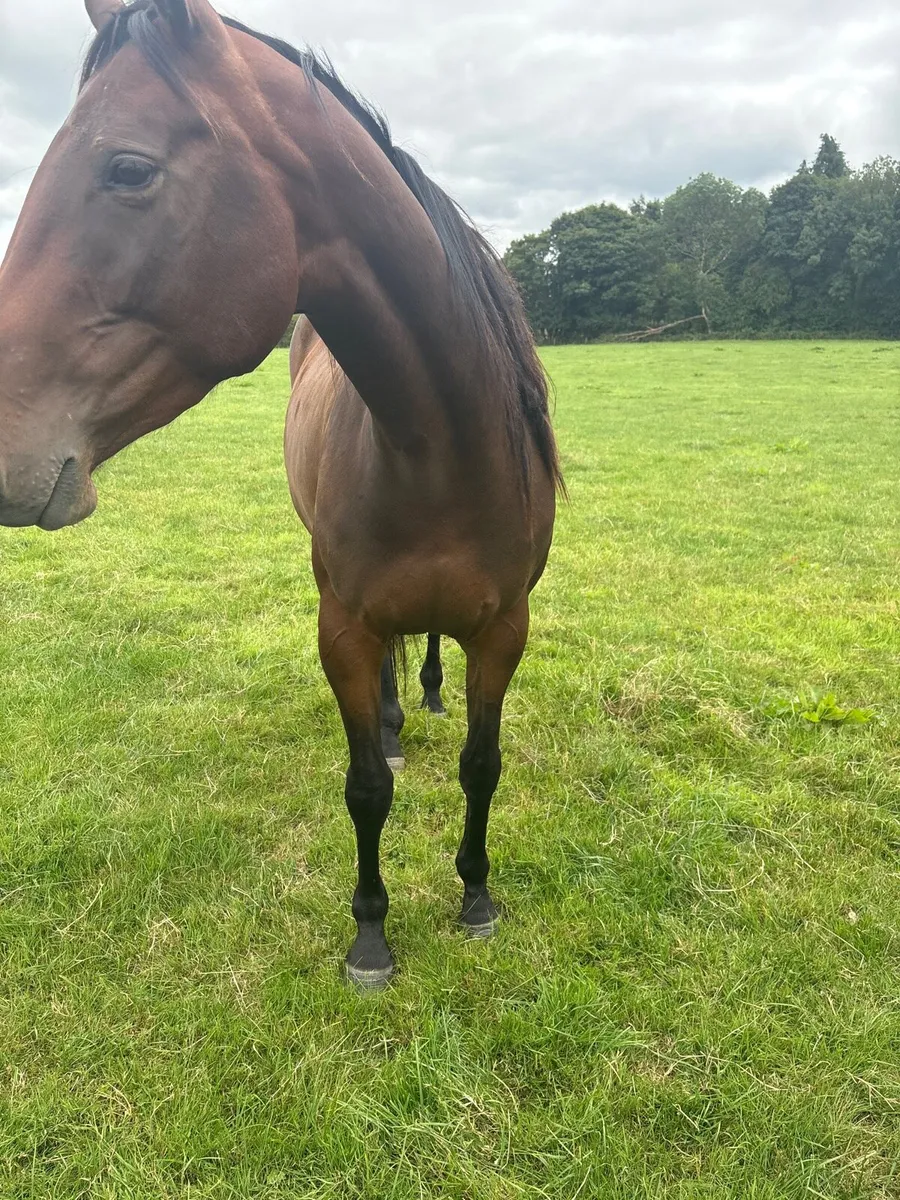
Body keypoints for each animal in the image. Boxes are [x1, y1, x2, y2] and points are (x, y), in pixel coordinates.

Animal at [0, 0, 563, 988]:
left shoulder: (504, 629)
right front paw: (371, 936)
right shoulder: (342, 627)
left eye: (128, 168)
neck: (438, 451)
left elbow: (481, 764)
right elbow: (365, 787)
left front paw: (476, 896)